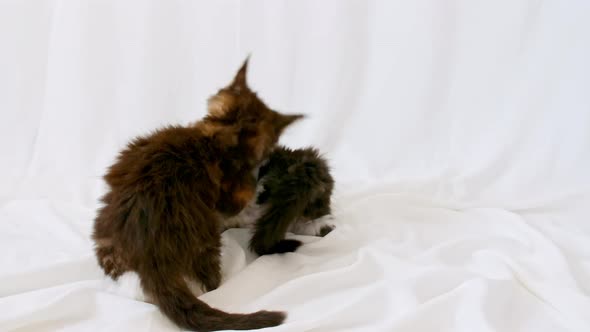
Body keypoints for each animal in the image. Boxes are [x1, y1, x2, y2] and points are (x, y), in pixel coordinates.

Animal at [93, 59, 306, 332]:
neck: (215, 139)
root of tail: (149, 252)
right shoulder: (233, 196)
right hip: (206, 242)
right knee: (211, 281)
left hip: (104, 235)